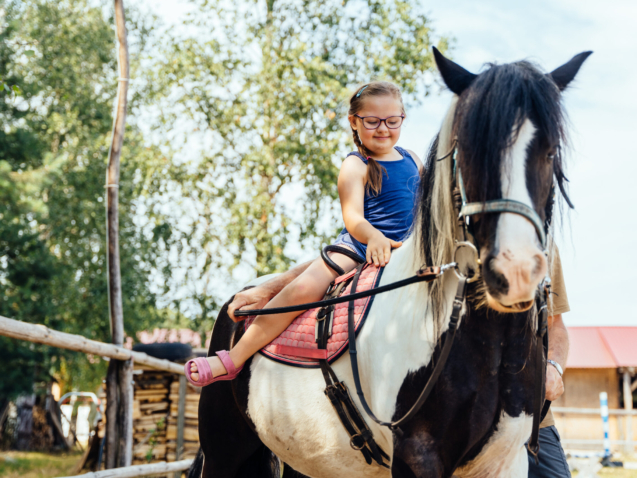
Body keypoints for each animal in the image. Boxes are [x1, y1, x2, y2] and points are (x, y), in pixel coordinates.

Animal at [190, 48, 592, 478]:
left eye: (550, 150)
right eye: (467, 152)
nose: (514, 271)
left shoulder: (506, 459)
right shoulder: (418, 457)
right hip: (224, 453)